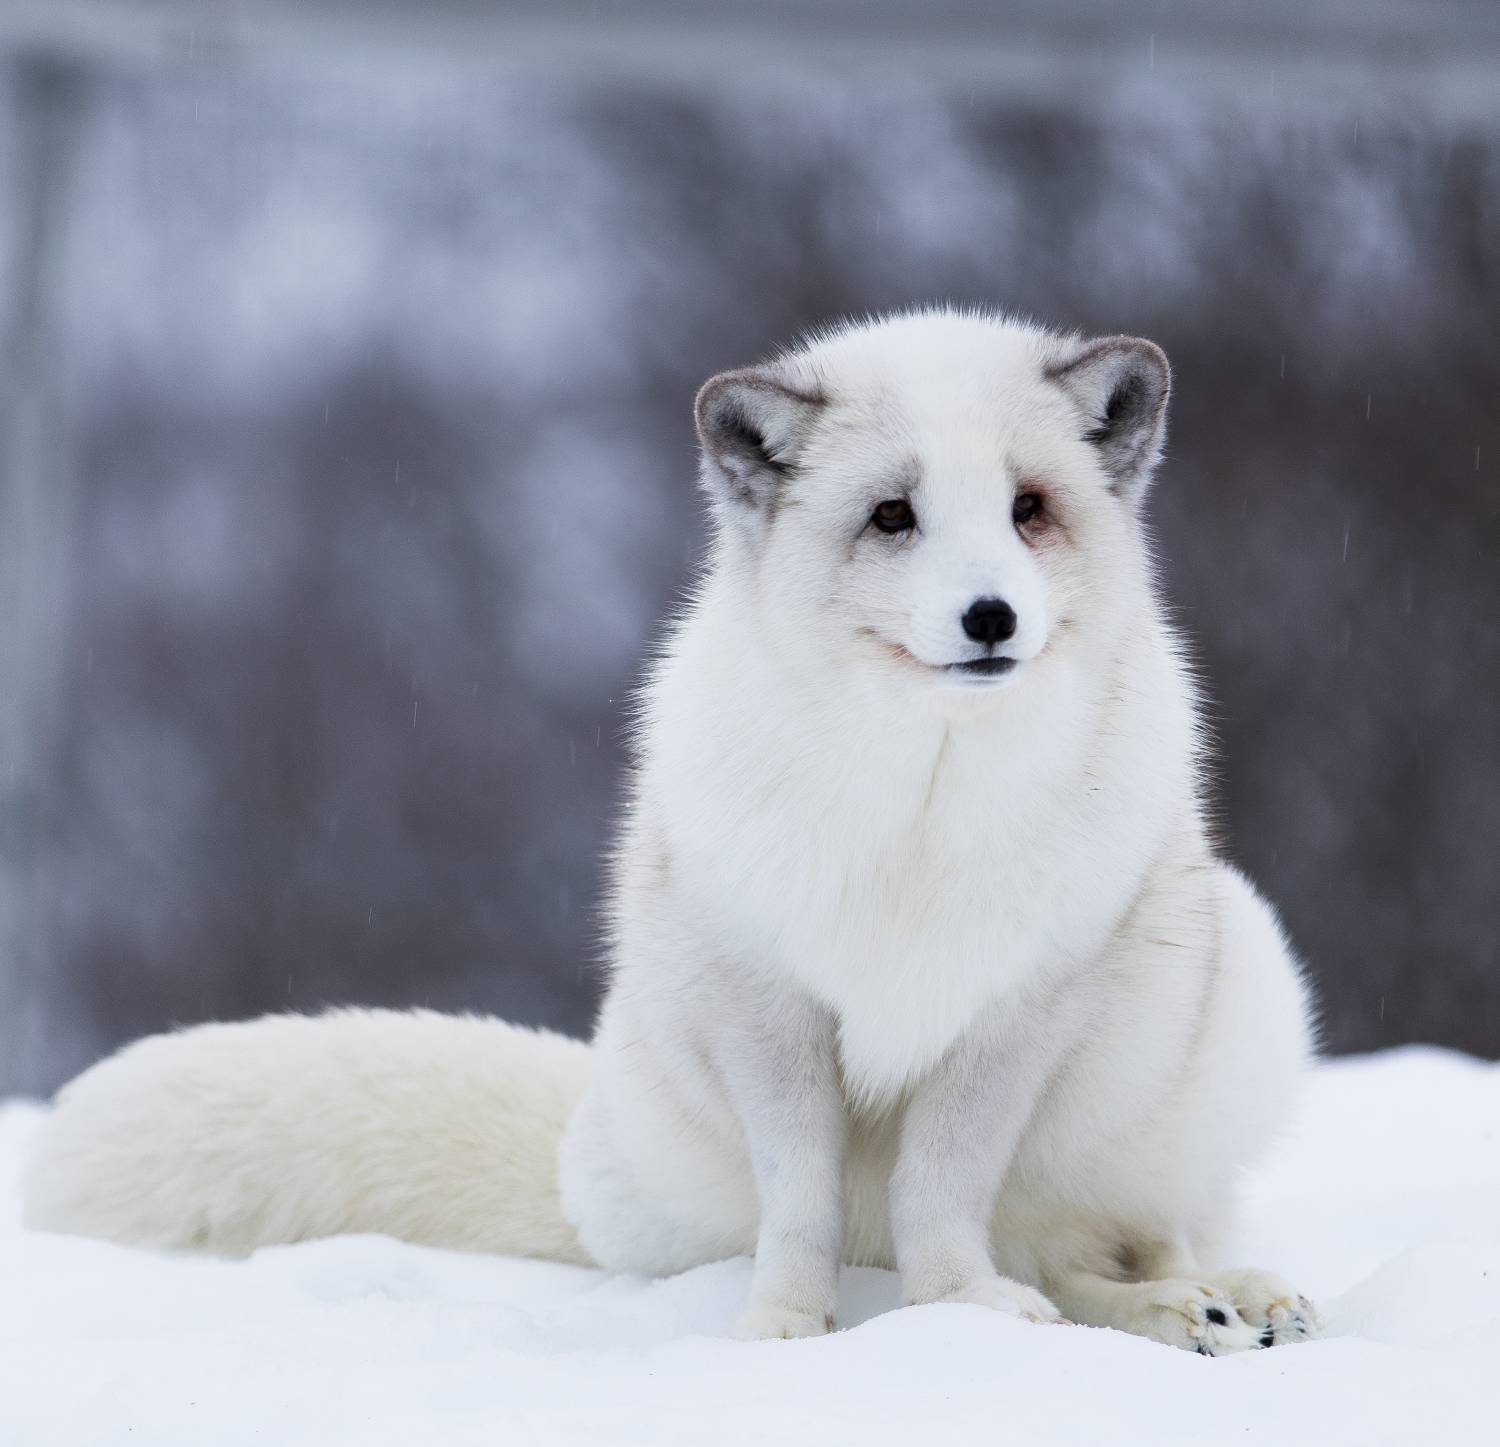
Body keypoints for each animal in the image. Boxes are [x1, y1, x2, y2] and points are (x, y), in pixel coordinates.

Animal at [20, 307, 1314, 1355]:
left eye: (1029, 508)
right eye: (894, 515)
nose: (991, 616)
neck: (922, 801)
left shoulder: (1011, 1011)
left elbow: (946, 1190)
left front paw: (963, 1313)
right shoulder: (763, 1001)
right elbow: (798, 1198)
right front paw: (781, 1332)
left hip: (1235, 974)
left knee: (1124, 1245)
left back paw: (1219, 1300)